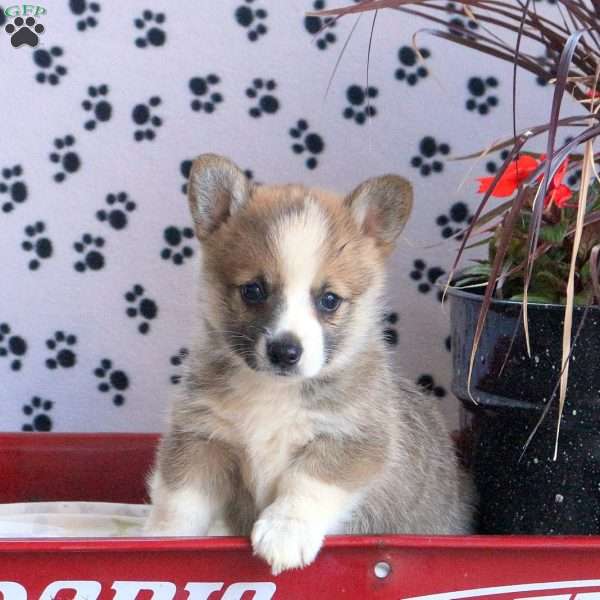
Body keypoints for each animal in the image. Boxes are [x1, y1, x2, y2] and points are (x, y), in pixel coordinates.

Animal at [145, 154, 474, 572]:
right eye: (253, 290)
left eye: (329, 300)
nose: (285, 352)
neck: (273, 390)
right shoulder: (201, 437)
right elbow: (179, 502)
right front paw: (161, 541)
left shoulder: (350, 440)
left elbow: (306, 484)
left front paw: (285, 532)